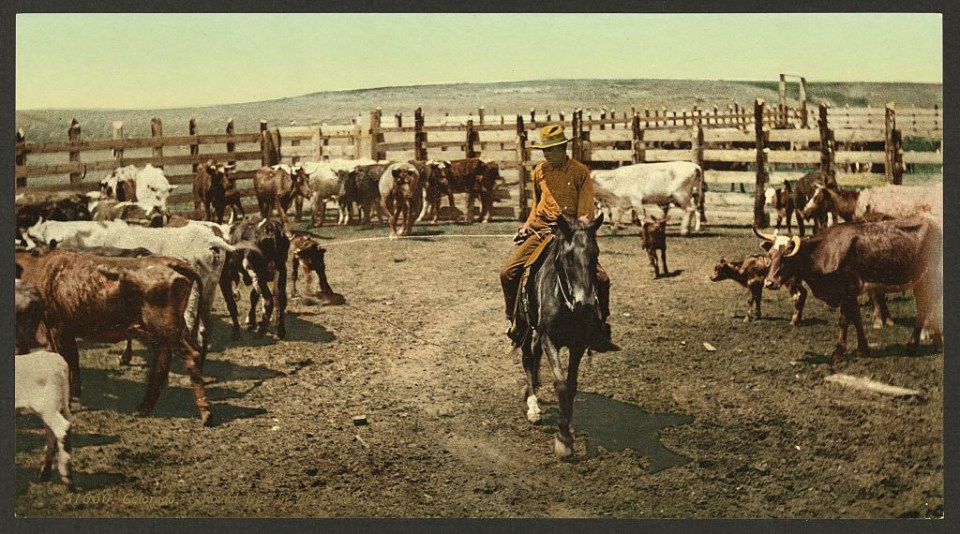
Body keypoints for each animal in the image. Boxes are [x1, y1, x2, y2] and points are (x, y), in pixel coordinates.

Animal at [16, 250, 212, 428]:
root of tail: (171, 262)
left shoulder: (57, 327)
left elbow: (66, 360)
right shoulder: (65, 330)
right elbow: (73, 359)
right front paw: (75, 393)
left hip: (168, 329)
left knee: (191, 355)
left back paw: (205, 413)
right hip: (164, 332)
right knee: (164, 360)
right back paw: (143, 408)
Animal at [520, 215, 604, 460]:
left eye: (595, 254)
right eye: (568, 257)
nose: (586, 303)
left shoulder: (578, 343)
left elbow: (572, 385)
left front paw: (567, 429)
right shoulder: (549, 338)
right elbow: (561, 385)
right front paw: (563, 440)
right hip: (526, 327)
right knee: (527, 359)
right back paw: (533, 405)